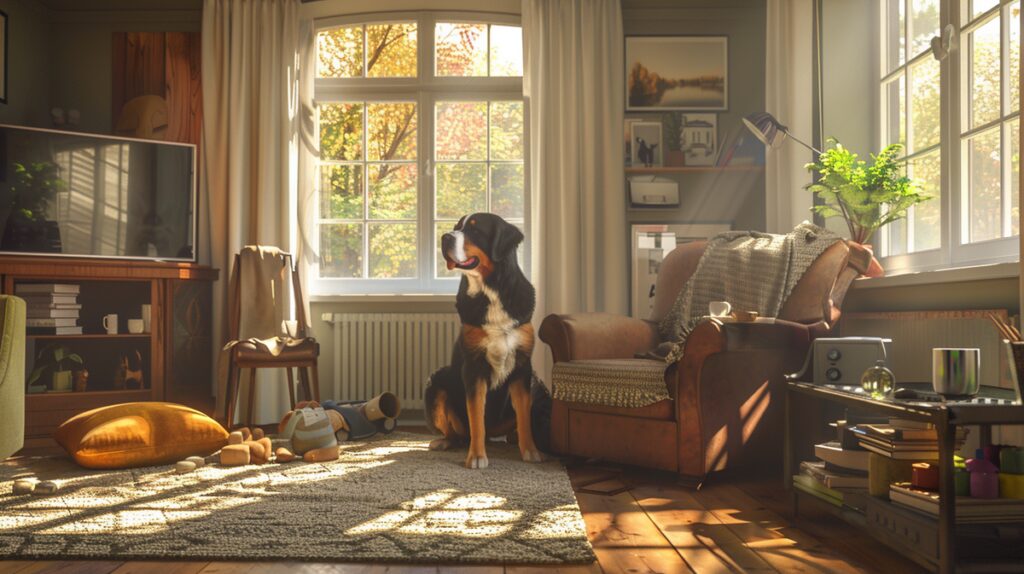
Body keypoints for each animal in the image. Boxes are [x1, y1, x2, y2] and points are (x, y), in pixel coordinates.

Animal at [425, 212, 552, 468]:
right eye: (457, 227)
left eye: (475, 230)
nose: (445, 237)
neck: (491, 291)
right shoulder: (473, 367)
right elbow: (476, 417)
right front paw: (476, 456)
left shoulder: (522, 367)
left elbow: (524, 417)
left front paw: (531, 451)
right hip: (436, 383)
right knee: (456, 432)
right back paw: (445, 442)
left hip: (536, 384)